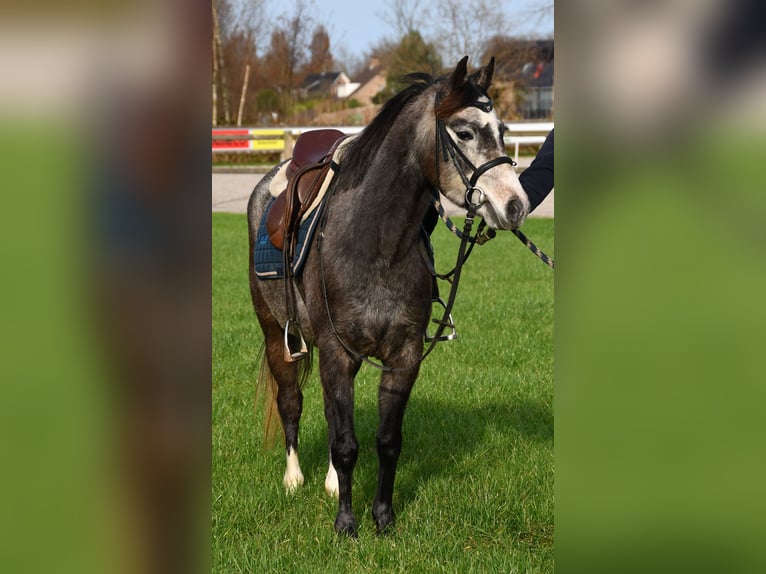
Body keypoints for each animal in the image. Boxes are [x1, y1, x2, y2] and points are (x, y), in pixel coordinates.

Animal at [249, 56, 532, 536]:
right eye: (465, 132)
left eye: (503, 128)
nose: (516, 205)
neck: (375, 242)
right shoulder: (336, 351)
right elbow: (346, 443)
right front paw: (346, 524)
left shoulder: (403, 355)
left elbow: (385, 441)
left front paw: (382, 517)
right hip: (278, 337)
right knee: (291, 401)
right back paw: (294, 478)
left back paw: (329, 482)